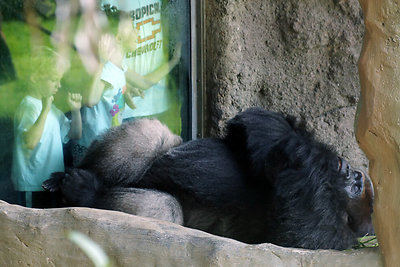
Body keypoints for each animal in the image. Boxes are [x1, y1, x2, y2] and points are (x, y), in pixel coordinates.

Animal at [43, 108, 376, 250]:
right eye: (356, 180)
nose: (353, 172)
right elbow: (259, 123)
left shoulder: (329, 232)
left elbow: (296, 231)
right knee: (149, 137)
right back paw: (65, 181)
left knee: (164, 210)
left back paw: (85, 193)